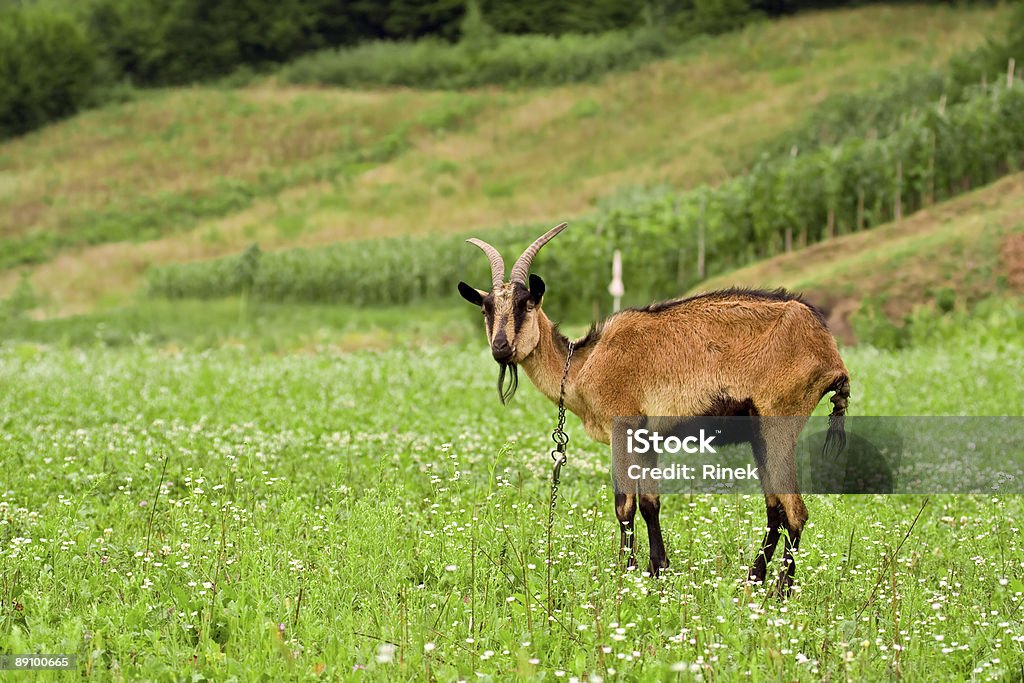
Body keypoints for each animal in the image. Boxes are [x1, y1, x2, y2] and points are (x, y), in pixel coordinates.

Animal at [460, 223, 851, 593]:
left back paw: (780, 592)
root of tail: (829, 352)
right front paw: (656, 570)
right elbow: (650, 502)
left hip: (778, 422)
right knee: (776, 509)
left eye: (525, 304)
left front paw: (625, 571)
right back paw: (754, 579)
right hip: (760, 432)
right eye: (487, 308)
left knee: (795, 512)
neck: (583, 363)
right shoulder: (647, 437)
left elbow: (625, 504)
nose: (500, 347)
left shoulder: (623, 426)